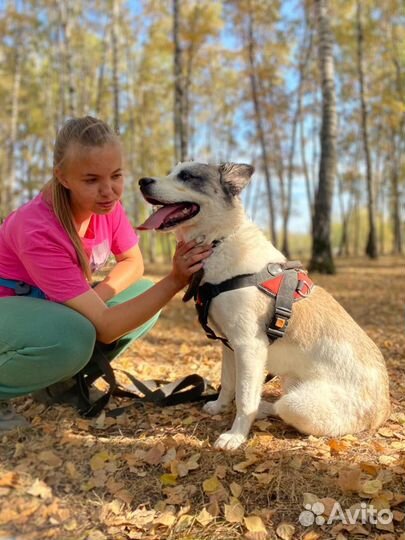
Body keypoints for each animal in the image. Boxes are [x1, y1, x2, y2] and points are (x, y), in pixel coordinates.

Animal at [137, 162, 390, 450]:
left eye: (187, 176)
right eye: (172, 171)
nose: (142, 181)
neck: (220, 240)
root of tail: (384, 410)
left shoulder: (249, 347)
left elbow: (245, 398)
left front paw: (235, 436)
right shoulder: (229, 345)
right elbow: (228, 383)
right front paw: (219, 407)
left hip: (298, 403)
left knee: (278, 406)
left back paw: (262, 410)